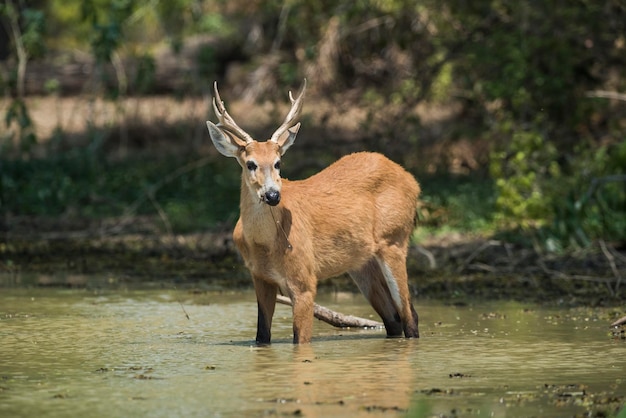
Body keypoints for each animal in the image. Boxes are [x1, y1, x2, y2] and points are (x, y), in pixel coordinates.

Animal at [206, 80, 420, 344]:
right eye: (250, 164)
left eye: (278, 163)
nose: (273, 195)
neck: (265, 244)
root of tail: (413, 181)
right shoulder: (260, 276)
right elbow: (262, 335)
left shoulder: (304, 279)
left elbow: (300, 340)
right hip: (361, 262)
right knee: (394, 319)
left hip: (394, 240)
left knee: (410, 316)